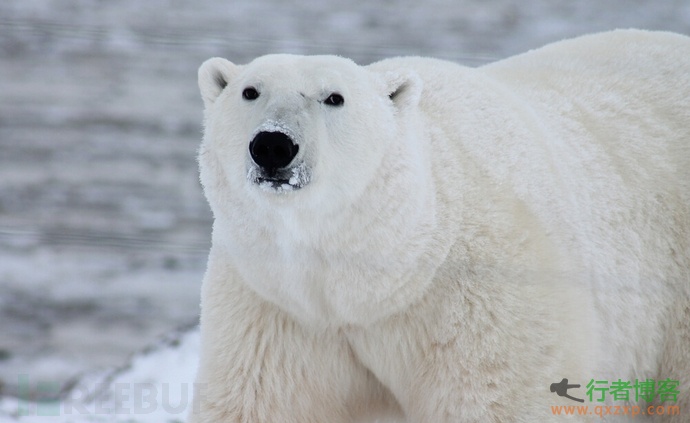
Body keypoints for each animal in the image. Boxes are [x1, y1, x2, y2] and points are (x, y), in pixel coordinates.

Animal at [189, 28, 688, 422]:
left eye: (334, 97)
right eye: (250, 91)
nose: (273, 145)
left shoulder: (482, 299)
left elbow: (499, 400)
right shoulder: (276, 308)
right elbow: (261, 403)